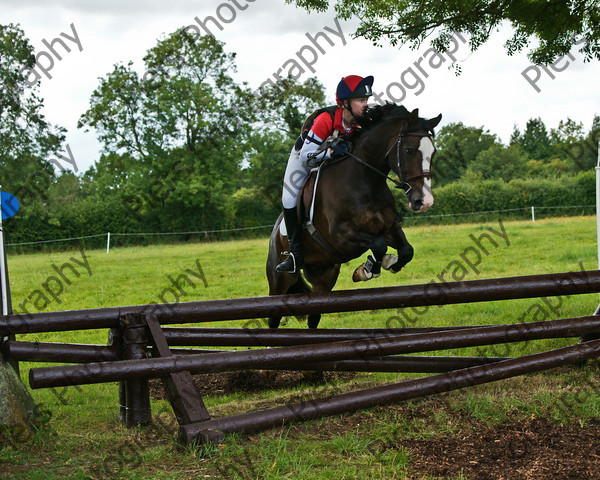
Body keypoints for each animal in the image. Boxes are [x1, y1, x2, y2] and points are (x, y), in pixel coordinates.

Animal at [266, 103, 440, 330]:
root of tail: (275, 232)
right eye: (409, 150)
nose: (424, 201)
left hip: (324, 276)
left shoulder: (389, 227)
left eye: (433, 152)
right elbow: (378, 245)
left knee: (313, 315)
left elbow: (406, 250)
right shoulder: (342, 235)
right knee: (273, 316)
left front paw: (385, 263)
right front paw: (369, 268)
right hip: (279, 278)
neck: (365, 180)